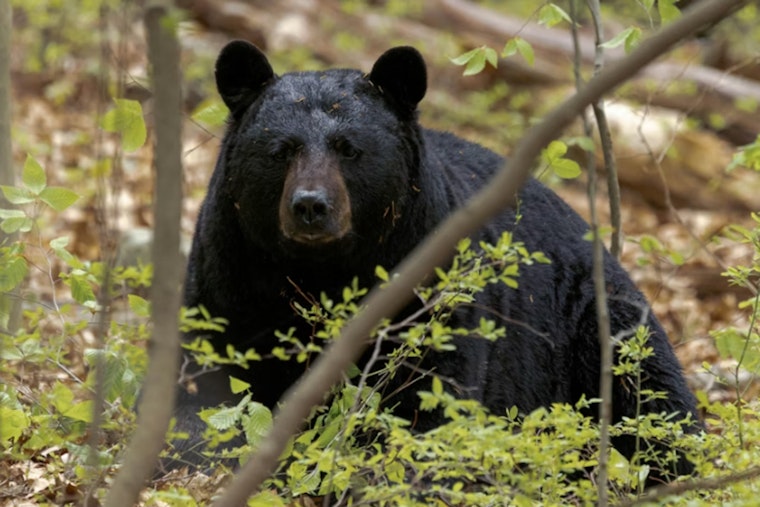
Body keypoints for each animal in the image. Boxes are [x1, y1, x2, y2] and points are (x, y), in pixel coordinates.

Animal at [167, 40, 700, 484]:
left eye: (349, 148)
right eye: (280, 150)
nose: (311, 206)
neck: (322, 271)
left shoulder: (429, 284)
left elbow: (431, 397)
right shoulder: (230, 273)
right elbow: (205, 384)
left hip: (594, 322)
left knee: (653, 397)